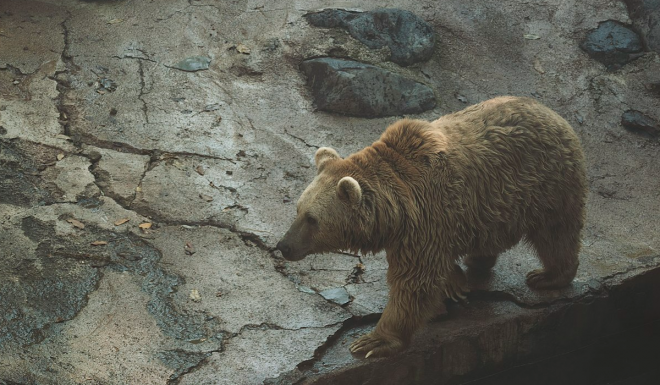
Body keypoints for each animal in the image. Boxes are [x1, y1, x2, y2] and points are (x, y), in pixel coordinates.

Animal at [276, 96, 584, 356]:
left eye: (312, 219)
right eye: (298, 209)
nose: (284, 246)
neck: (394, 211)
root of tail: (552, 112)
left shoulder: (426, 218)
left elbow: (414, 281)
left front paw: (372, 341)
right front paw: (452, 285)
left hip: (545, 184)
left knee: (555, 233)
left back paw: (546, 275)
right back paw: (476, 262)